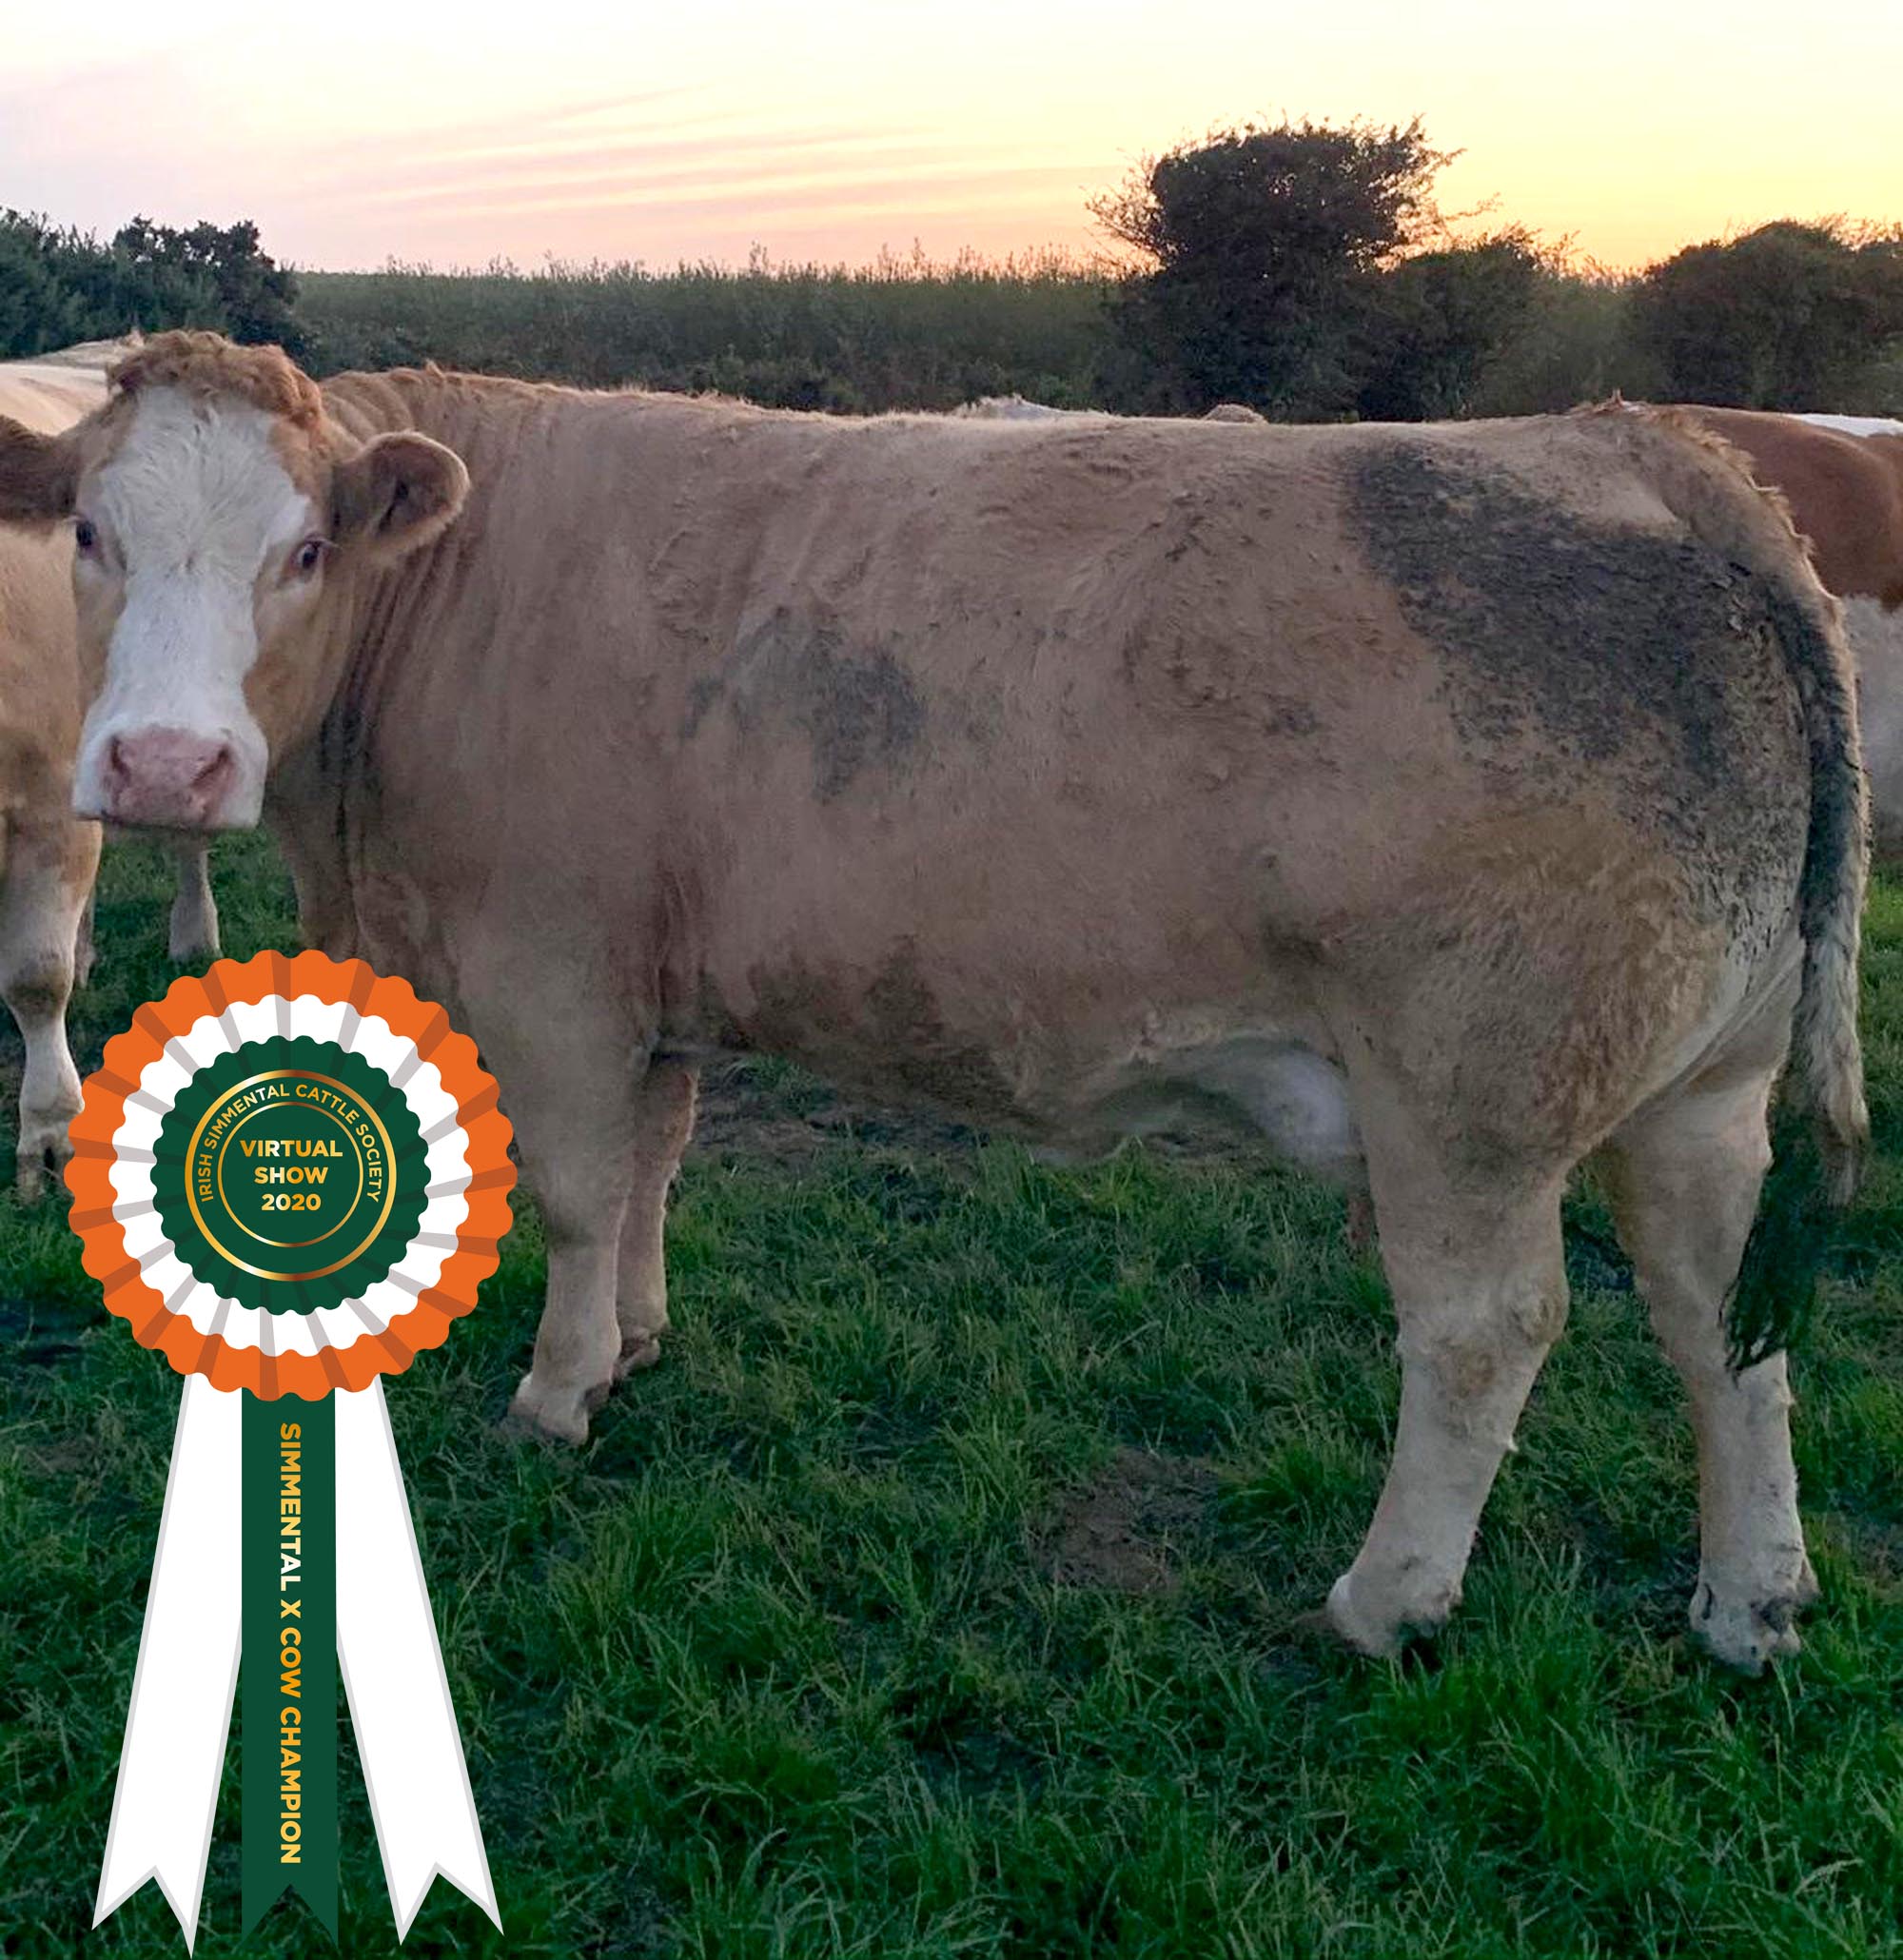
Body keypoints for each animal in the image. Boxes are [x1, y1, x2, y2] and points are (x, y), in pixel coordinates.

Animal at [0, 332, 1867, 1671]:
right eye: (88, 533)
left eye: (305, 546)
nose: (163, 766)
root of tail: (1642, 450)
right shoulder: (662, 984)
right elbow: (659, 1166)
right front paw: (640, 1342)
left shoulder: (555, 969)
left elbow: (587, 1192)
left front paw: (557, 1392)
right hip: (1707, 1088)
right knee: (1722, 1320)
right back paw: (1751, 1603)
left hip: (1468, 1103)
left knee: (1489, 1332)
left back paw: (1386, 1599)